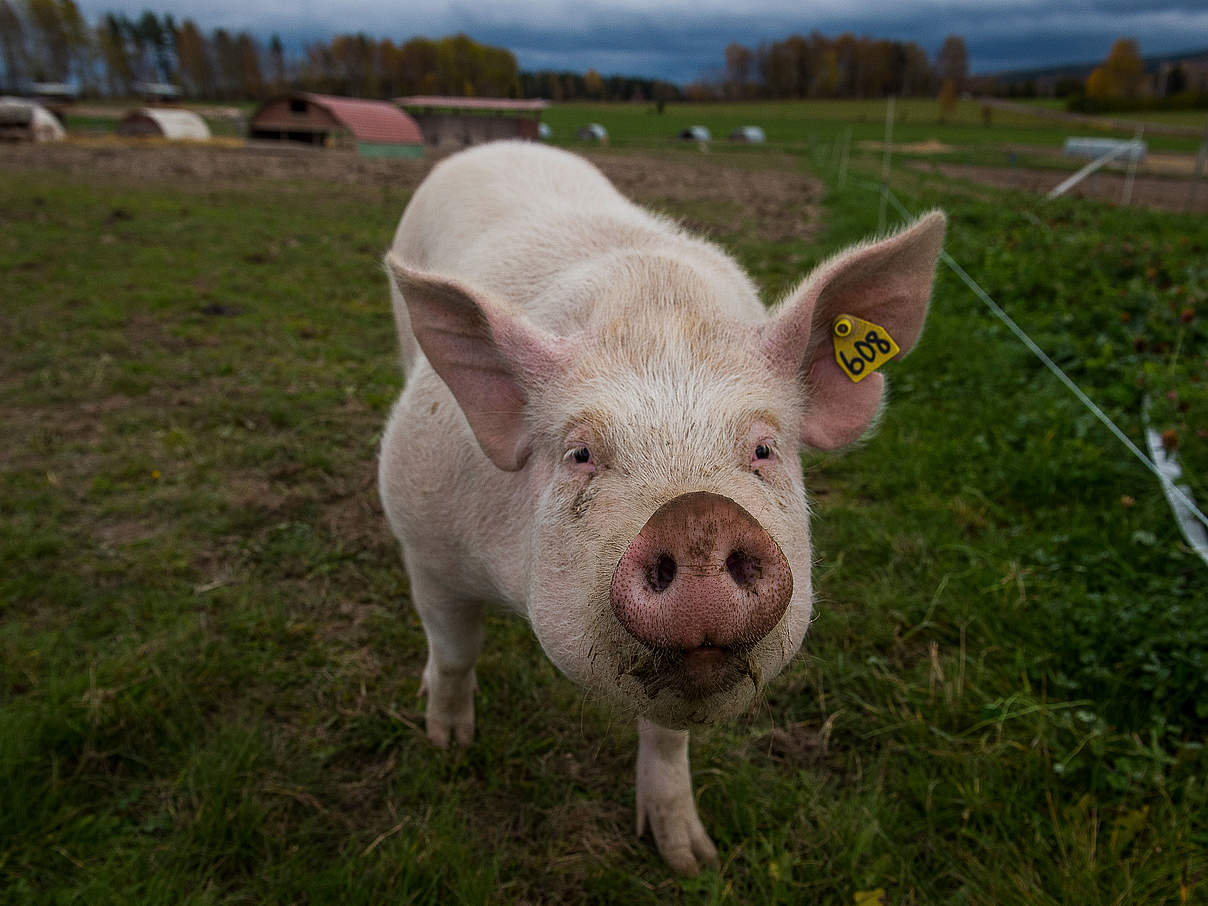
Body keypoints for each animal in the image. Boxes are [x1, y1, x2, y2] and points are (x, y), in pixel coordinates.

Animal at [376, 143, 942, 879]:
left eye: (763, 447)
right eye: (581, 453)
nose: (699, 519)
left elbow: (670, 740)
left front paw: (691, 859)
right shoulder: (423, 537)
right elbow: (453, 653)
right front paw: (447, 746)